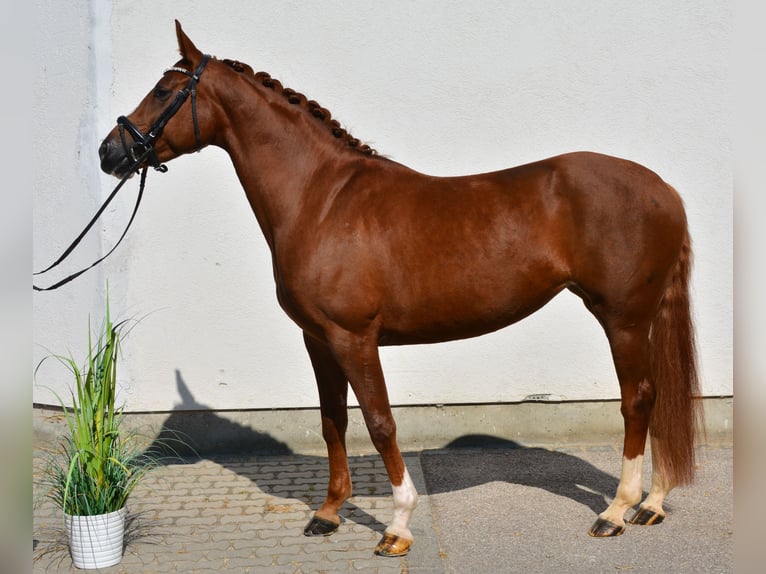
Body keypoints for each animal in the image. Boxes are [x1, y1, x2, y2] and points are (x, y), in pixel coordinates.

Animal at [100, 22, 704, 560]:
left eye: (165, 91)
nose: (111, 152)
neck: (321, 199)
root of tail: (665, 189)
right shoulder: (318, 341)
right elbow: (333, 422)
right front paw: (327, 514)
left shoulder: (354, 338)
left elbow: (380, 423)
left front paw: (397, 527)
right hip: (640, 318)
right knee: (657, 396)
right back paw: (652, 503)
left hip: (622, 318)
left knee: (637, 399)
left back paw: (615, 511)